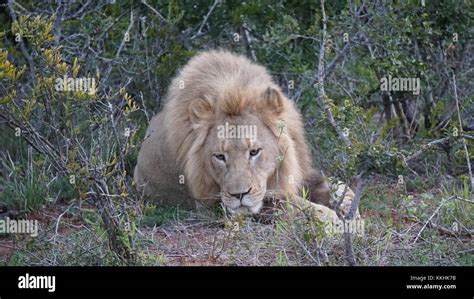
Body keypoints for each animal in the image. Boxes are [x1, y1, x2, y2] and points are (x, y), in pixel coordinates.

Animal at [133, 50, 356, 231]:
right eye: (219, 156)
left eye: (254, 152)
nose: (239, 195)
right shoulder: (214, 204)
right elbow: (296, 206)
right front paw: (334, 221)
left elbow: (336, 183)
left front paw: (348, 206)